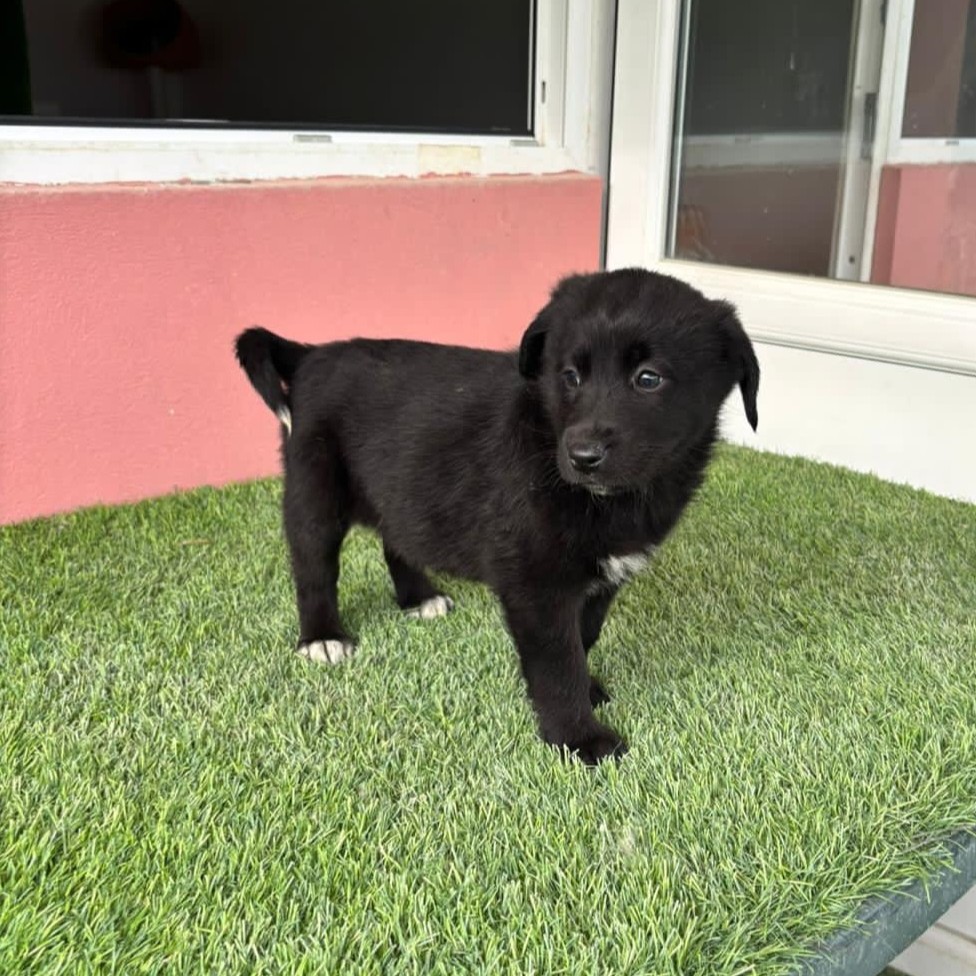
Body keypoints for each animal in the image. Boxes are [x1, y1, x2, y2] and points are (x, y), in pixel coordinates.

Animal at [235, 268, 759, 764]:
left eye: (649, 378)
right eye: (570, 376)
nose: (582, 456)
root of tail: (312, 354)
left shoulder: (602, 578)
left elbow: (582, 636)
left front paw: (584, 690)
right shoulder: (534, 583)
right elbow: (557, 660)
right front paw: (578, 737)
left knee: (397, 537)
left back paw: (418, 597)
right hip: (314, 486)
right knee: (313, 566)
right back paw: (322, 637)